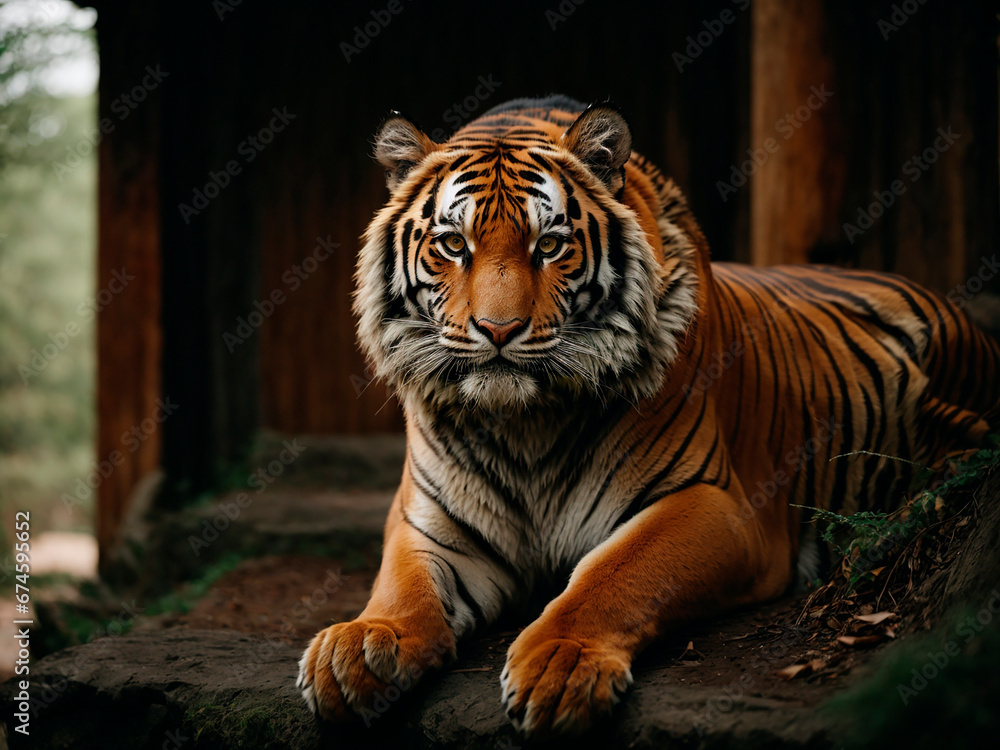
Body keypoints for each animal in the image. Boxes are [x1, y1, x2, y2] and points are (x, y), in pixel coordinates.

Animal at [296, 95, 1000, 736]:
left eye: (549, 245)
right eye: (451, 244)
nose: (498, 330)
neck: (522, 423)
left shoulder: (713, 503)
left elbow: (613, 575)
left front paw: (560, 664)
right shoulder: (429, 519)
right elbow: (402, 586)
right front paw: (358, 647)